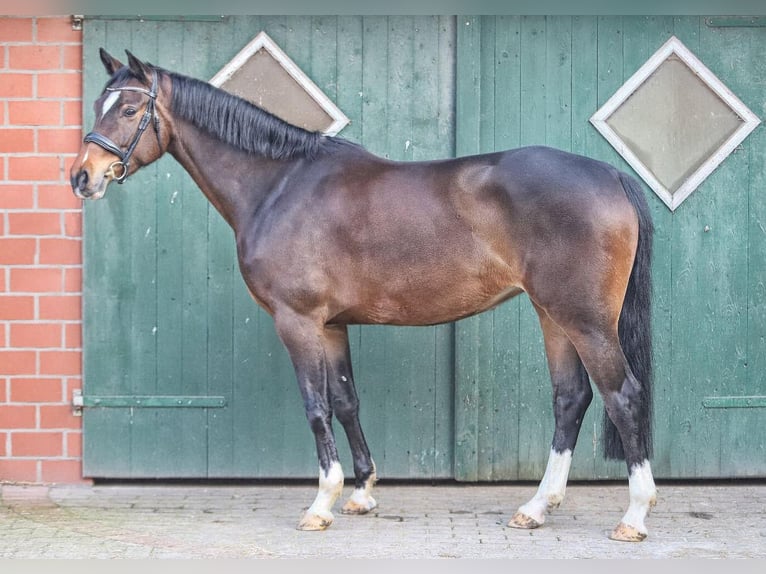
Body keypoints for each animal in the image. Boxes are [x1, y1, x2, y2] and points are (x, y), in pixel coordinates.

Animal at [72, 50, 656, 544]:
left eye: (129, 108)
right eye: (100, 105)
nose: (83, 176)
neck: (279, 186)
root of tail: (610, 174)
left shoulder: (297, 321)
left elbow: (315, 406)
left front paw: (320, 504)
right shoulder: (332, 325)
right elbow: (346, 401)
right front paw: (361, 493)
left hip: (584, 320)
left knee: (622, 395)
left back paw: (634, 515)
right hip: (552, 315)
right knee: (570, 398)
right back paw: (536, 507)